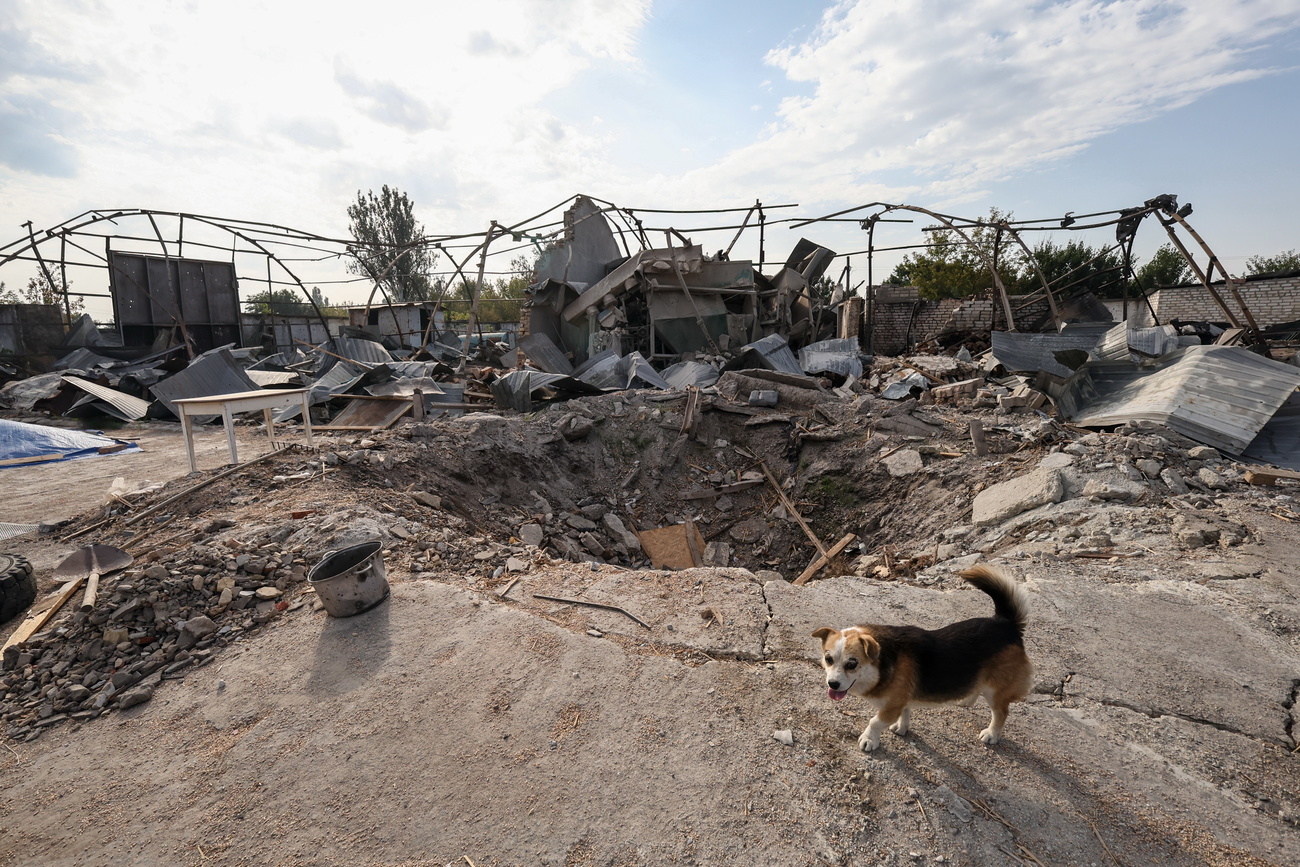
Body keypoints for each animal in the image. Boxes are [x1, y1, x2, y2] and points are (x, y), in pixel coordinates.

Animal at [811, 564, 1034, 753]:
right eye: (828, 659)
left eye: (852, 664)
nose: (832, 684)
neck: (882, 665)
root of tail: (1006, 624)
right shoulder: (902, 699)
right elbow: (906, 712)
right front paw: (901, 727)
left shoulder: (890, 706)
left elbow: (875, 721)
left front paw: (869, 739)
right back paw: (966, 698)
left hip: (997, 691)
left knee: (1001, 712)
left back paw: (992, 734)